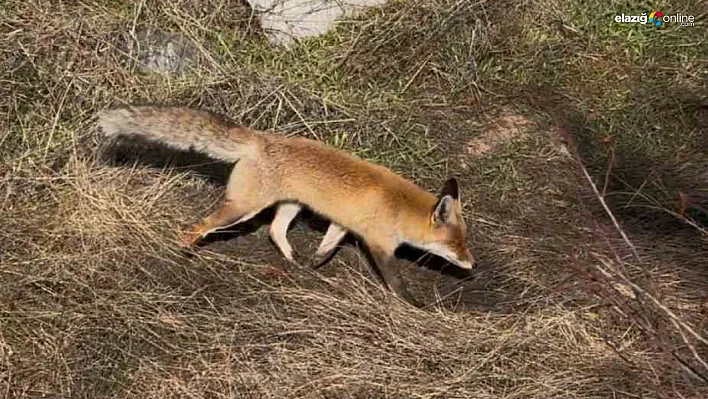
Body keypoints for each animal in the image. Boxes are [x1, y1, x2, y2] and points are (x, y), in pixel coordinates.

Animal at [97, 104, 476, 304]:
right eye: (455, 243)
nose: (471, 264)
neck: (399, 205)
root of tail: (261, 138)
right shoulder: (379, 244)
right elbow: (395, 280)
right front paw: (411, 303)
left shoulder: (343, 223)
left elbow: (328, 245)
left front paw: (317, 262)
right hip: (242, 208)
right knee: (202, 225)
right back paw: (186, 247)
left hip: (289, 207)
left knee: (274, 232)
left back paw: (293, 261)